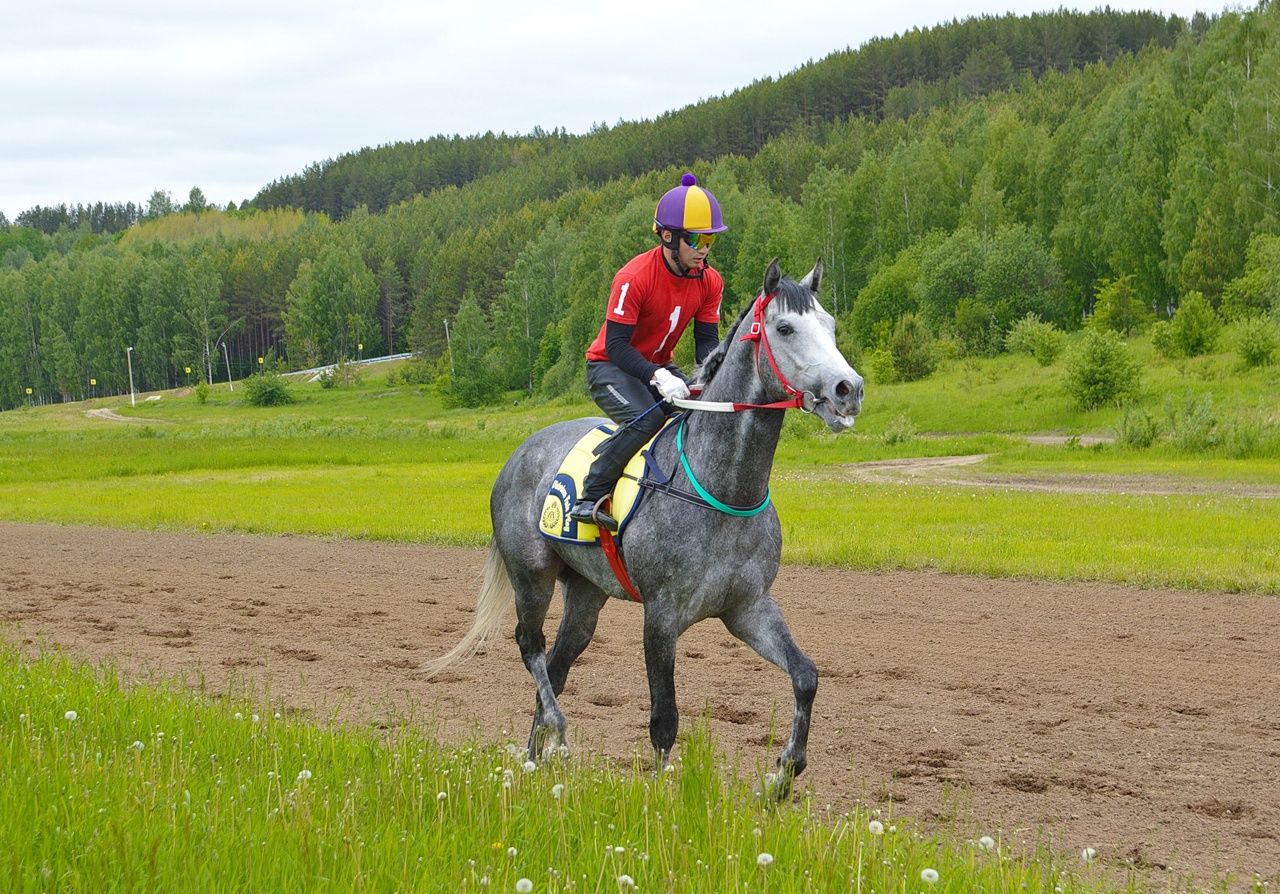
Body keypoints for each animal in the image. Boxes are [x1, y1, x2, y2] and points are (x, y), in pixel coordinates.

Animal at [427, 257, 860, 794]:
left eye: (831, 325)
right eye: (785, 328)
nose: (849, 389)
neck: (722, 489)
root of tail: (518, 454)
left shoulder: (747, 607)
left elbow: (805, 676)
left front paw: (781, 774)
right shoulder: (661, 616)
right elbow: (664, 720)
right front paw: (659, 799)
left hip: (586, 593)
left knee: (556, 666)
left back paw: (534, 761)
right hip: (531, 576)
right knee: (530, 648)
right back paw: (557, 732)